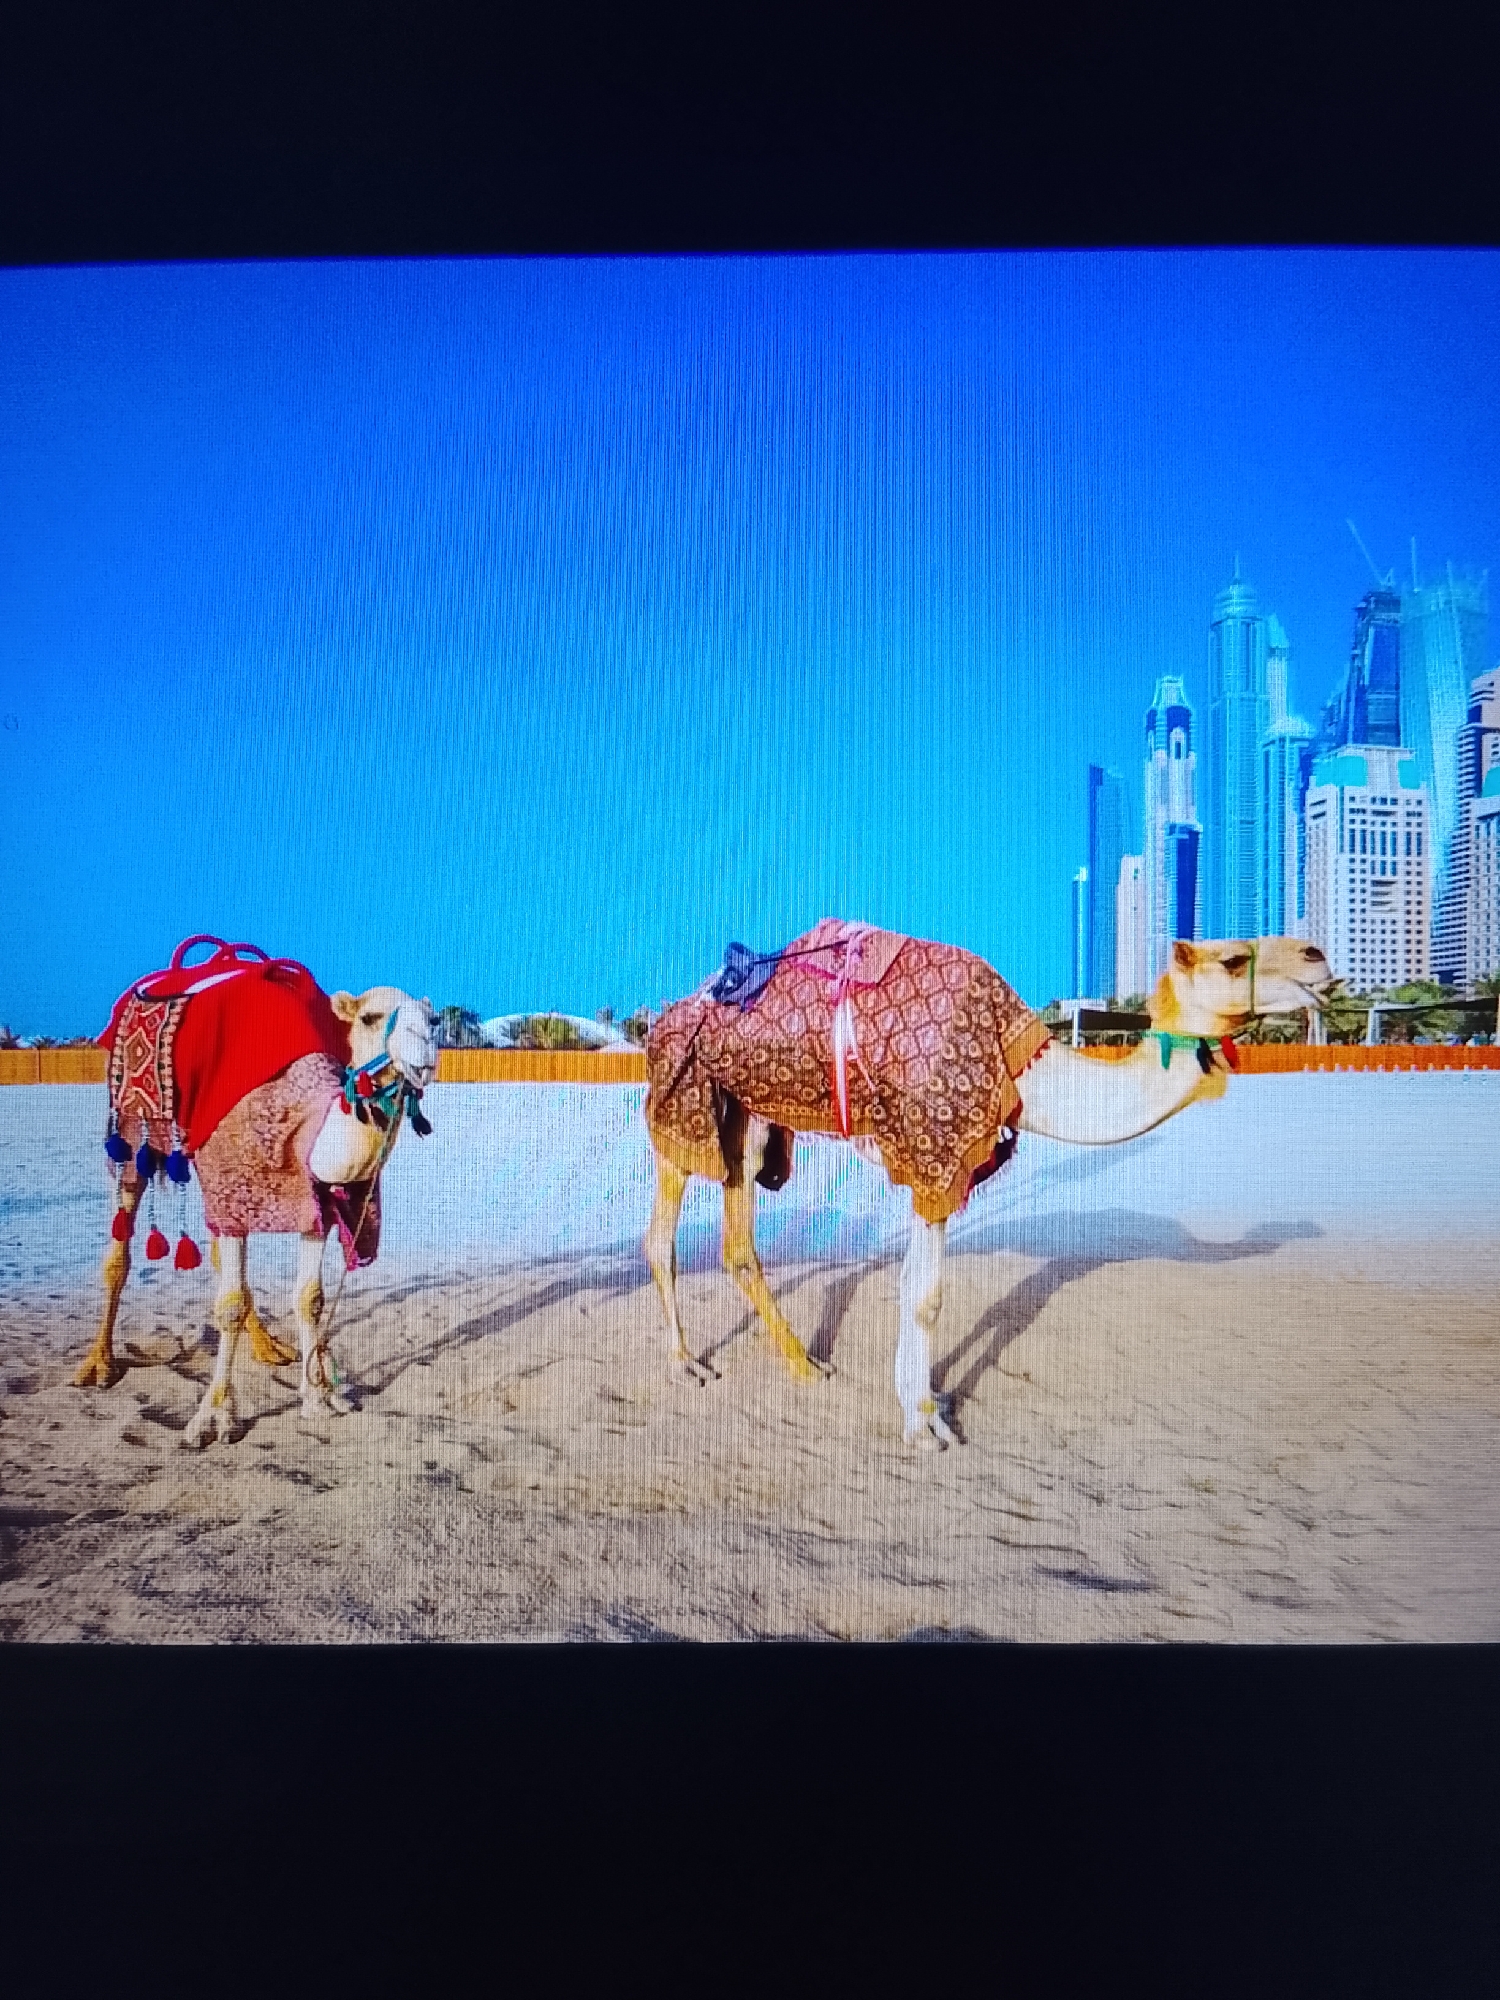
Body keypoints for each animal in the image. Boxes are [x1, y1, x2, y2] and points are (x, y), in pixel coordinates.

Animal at [74, 957, 438, 1448]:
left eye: (433, 1020)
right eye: (370, 1018)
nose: (426, 1052)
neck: (302, 1125)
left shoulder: (313, 1208)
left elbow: (310, 1299)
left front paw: (319, 1398)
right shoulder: (234, 1195)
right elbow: (228, 1306)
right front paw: (213, 1419)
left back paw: (269, 1347)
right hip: (132, 1135)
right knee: (120, 1247)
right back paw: (98, 1364)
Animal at [643, 925, 1335, 1448]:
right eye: (1233, 957)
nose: (1319, 956)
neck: (1014, 1061)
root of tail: (668, 1012)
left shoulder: (934, 1163)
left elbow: (916, 1290)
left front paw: (923, 1403)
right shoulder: (935, 1149)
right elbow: (926, 1296)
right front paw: (925, 1425)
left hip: (746, 1114)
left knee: (739, 1245)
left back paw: (806, 1365)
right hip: (684, 1098)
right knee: (661, 1239)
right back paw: (685, 1364)